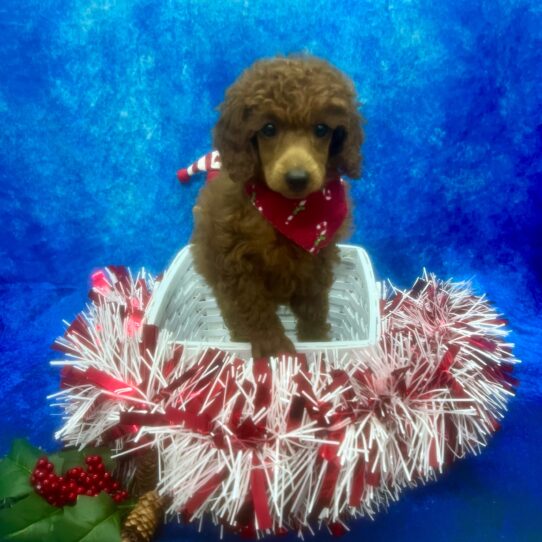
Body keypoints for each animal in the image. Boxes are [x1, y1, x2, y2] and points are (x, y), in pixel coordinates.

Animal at [191, 56, 366, 362]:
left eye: (322, 129)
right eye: (269, 129)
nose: (297, 178)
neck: (292, 212)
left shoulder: (316, 262)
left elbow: (314, 308)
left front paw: (317, 341)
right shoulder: (236, 264)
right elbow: (255, 309)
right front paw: (274, 348)